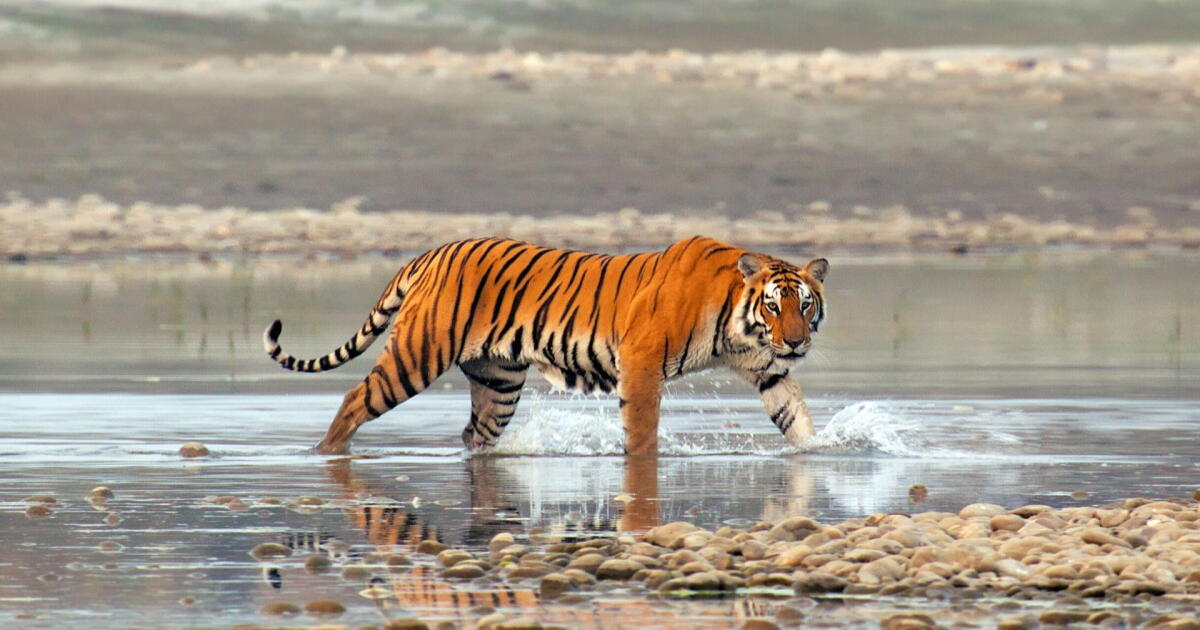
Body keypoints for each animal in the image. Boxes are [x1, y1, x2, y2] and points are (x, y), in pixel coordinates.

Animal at [263, 235, 828, 456]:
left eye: (805, 305)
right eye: (774, 306)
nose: (795, 342)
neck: (739, 322)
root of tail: (430, 252)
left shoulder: (766, 368)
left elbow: (793, 414)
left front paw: (819, 453)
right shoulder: (641, 363)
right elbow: (642, 430)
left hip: (497, 382)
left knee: (474, 435)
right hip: (416, 356)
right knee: (353, 400)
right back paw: (326, 454)